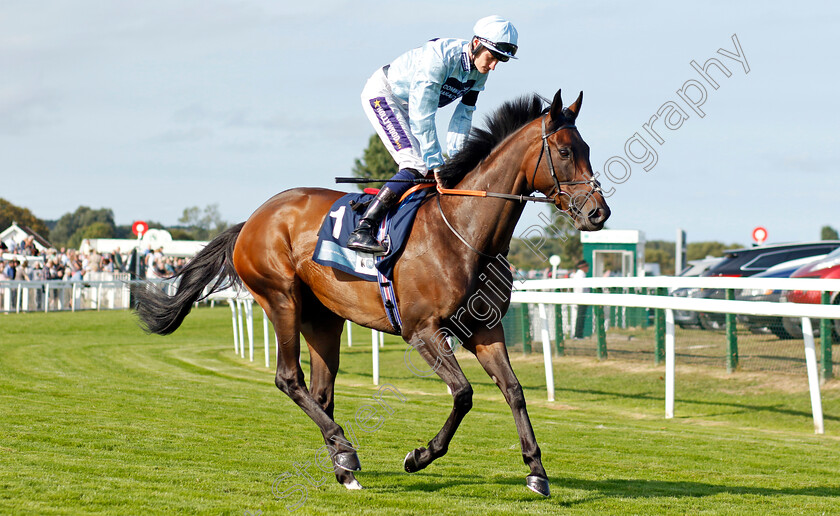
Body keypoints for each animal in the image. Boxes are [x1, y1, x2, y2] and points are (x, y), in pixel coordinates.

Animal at [136, 88, 612, 496]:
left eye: (587, 149)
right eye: (565, 152)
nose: (598, 213)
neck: (464, 232)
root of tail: (251, 220)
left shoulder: (485, 328)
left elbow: (513, 390)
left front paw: (537, 471)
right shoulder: (422, 331)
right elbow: (463, 394)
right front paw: (419, 456)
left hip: (323, 318)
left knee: (321, 391)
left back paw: (342, 466)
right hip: (281, 299)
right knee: (289, 378)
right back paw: (345, 451)